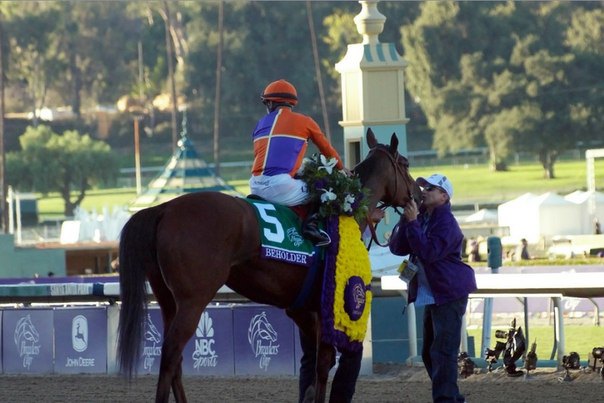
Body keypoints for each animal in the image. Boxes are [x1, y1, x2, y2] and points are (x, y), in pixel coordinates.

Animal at [117, 129, 420, 403]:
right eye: (405, 164)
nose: (418, 193)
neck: (343, 208)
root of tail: (164, 208)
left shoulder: (302, 309)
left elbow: (314, 366)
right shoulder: (325, 306)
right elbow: (324, 364)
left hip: (167, 300)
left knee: (175, 360)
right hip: (193, 300)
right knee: (170, 355)